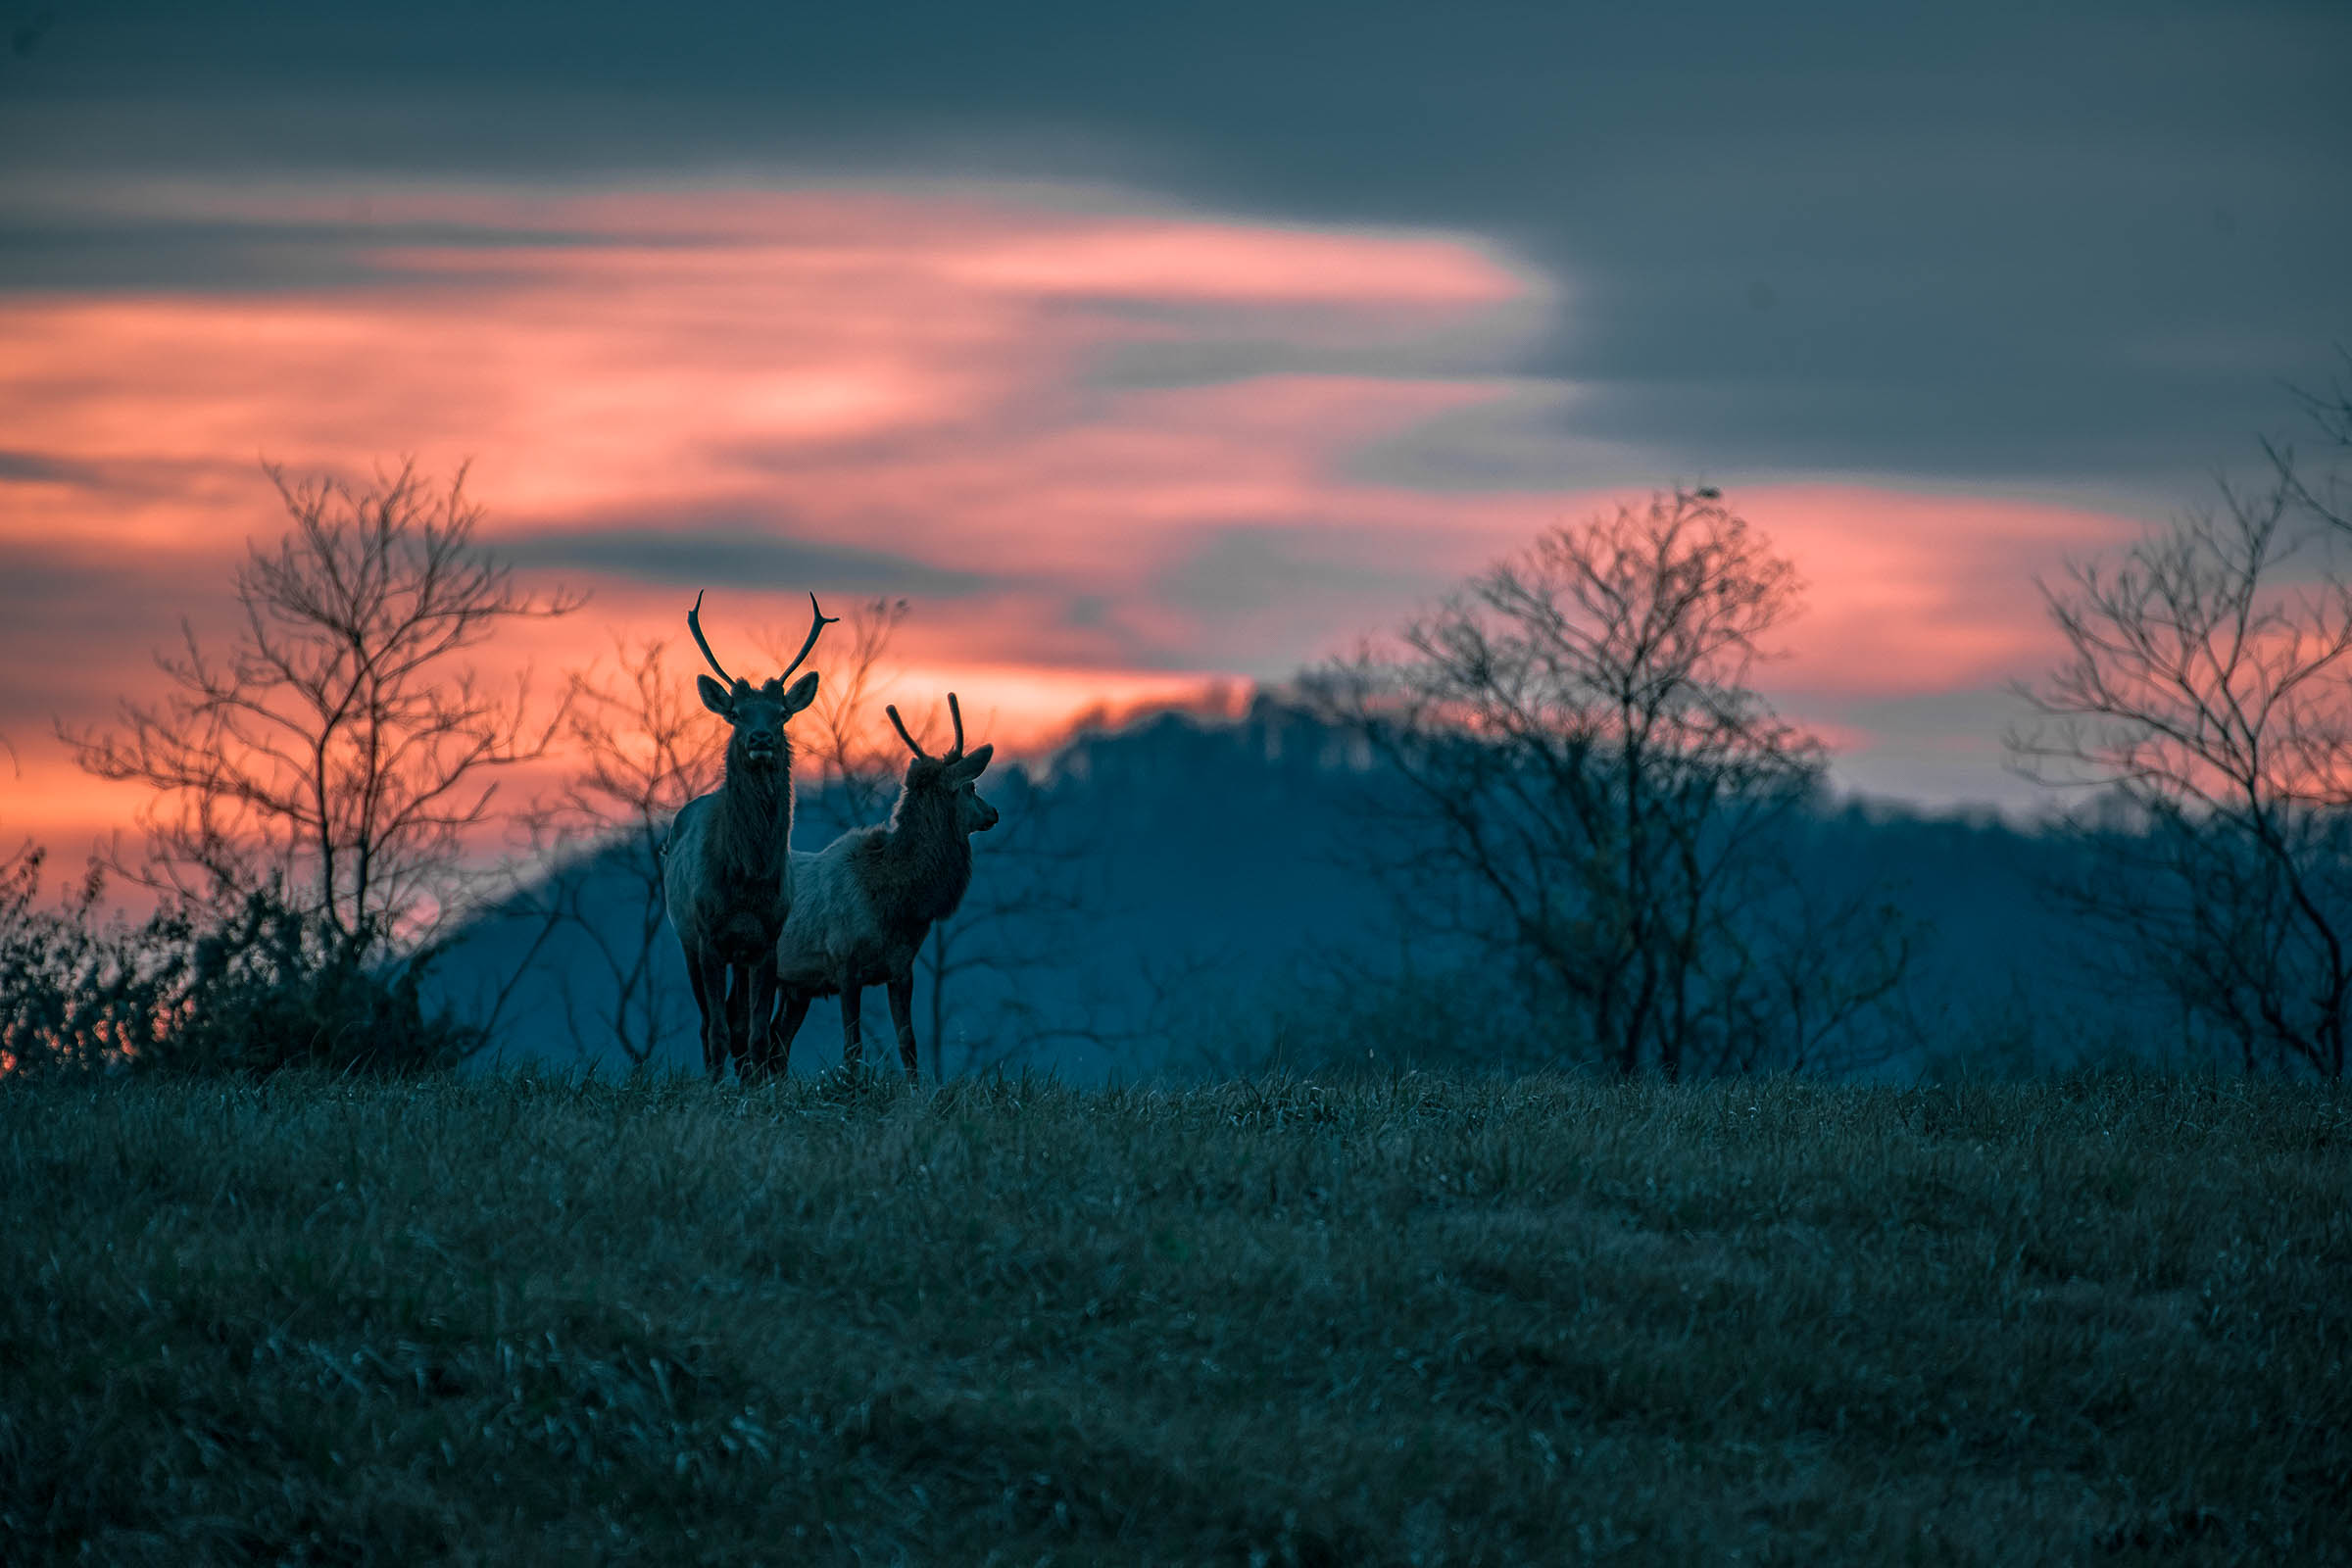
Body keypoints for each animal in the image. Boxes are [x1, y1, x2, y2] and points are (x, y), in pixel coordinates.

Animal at [662, 587, 837, 1081]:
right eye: (736, 714)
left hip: (739, 955)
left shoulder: (768, 939)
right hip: (685, 935)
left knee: (739, 1019)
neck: (746, 878)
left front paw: (756, 1087)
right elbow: (719, 1030)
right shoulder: (707, 935)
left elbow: (758, 1033)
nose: (760, 738)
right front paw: (714, 1088)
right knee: (710, 1022)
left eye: (781, 713)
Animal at [761, 696, 1002, 1081]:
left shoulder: (901, 968)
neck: (898, 904)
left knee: (777, 1043)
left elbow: (909, 1044)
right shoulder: (844, 961)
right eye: (972, 787)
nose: (993, 813)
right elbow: (853, 1049)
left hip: (797, 986)